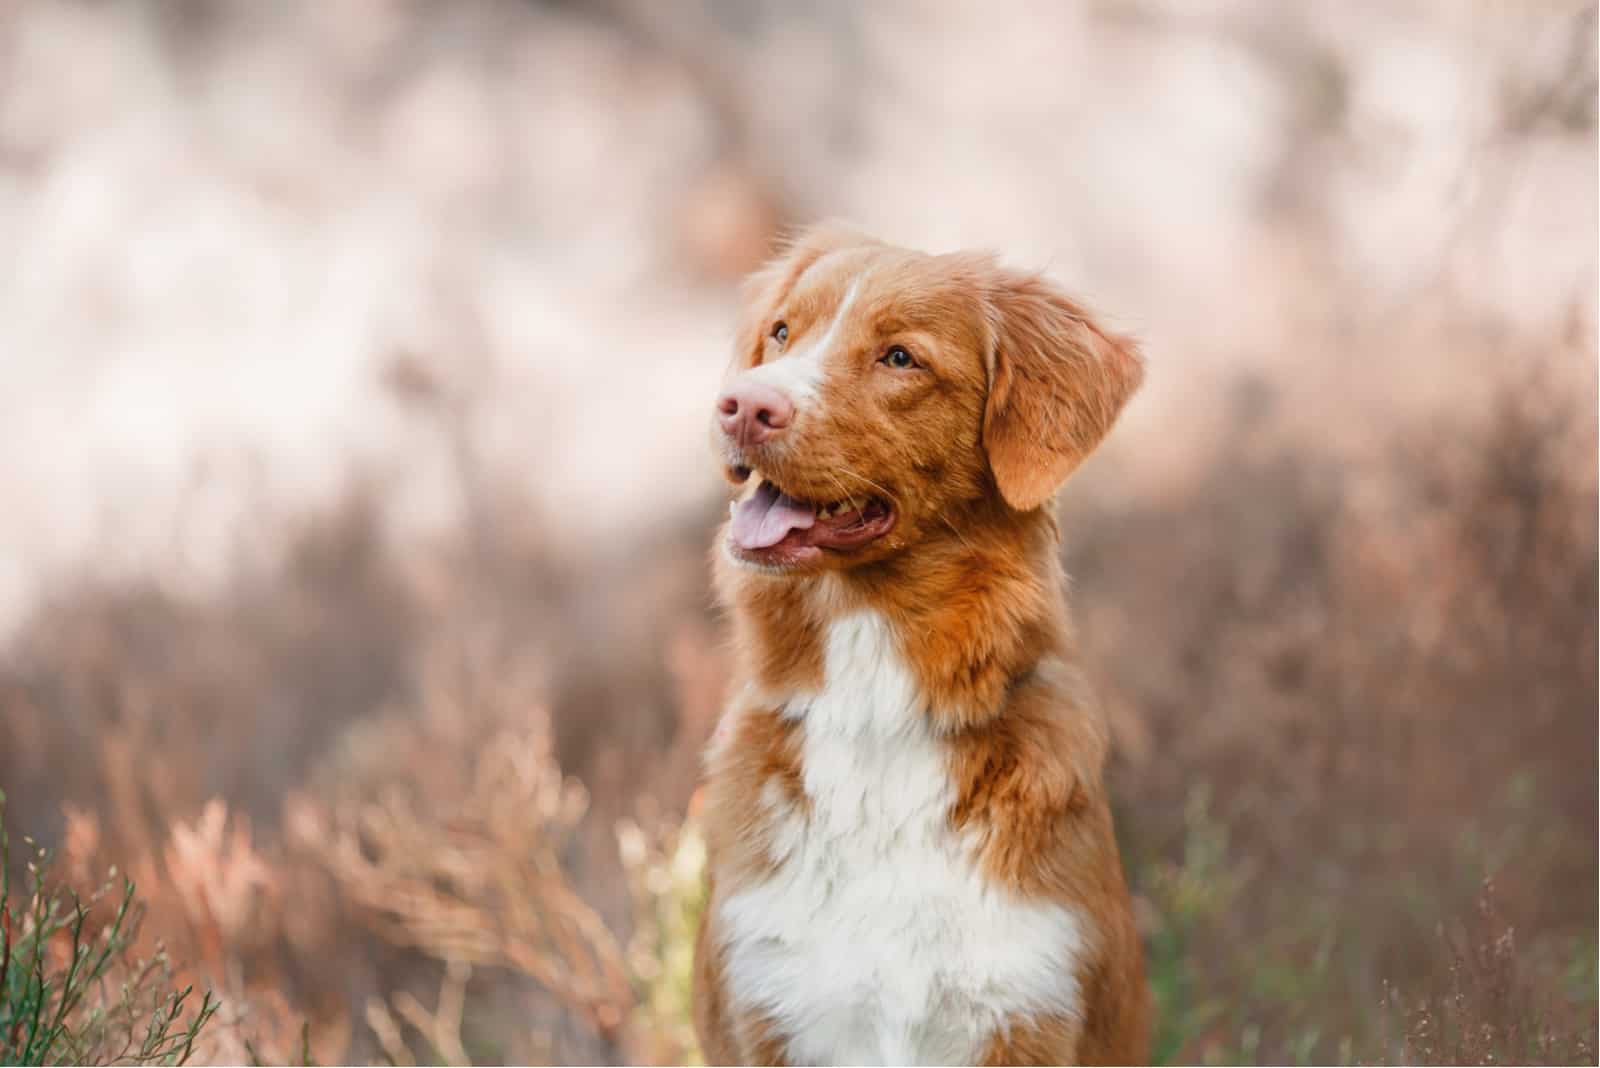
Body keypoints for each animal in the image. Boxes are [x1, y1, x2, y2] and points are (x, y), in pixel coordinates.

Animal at [694, 220, 1145, 1061]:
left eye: (900, 358)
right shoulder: (768, 1000)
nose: (741, 406)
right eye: (782, 333)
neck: (873, 713)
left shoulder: (1026, 1005)